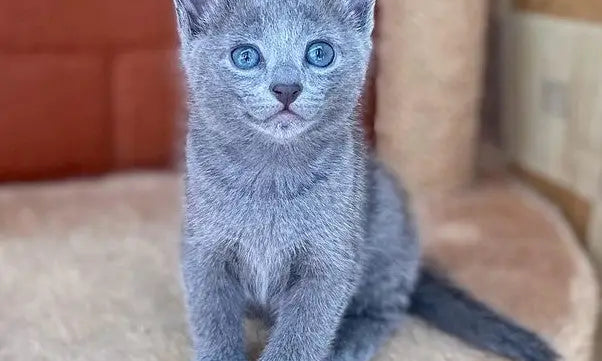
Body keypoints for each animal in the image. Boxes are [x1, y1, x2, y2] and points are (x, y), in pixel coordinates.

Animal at [171, 0, 556, 360]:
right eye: (245, 56)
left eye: (320, 53)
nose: (286, 88)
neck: (271, 178)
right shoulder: (203, 252)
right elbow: (212, 322)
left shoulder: (330, 262)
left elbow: (303, 334)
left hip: (386, 228)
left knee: (389, 307)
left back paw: (350, 342)